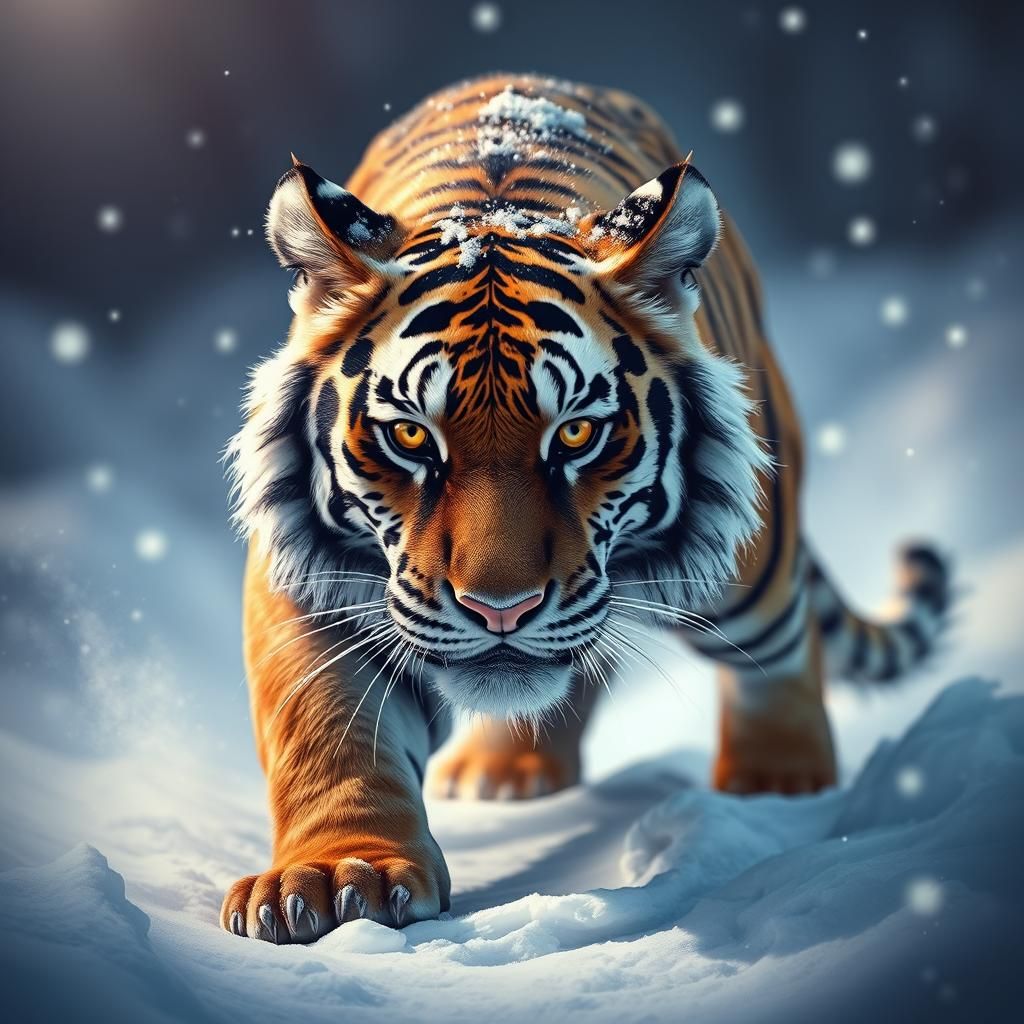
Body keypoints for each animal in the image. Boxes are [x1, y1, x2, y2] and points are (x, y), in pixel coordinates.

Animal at [220, 74, 950, 943]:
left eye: (574, 432)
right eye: (410, 434)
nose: (501, 610)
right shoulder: (310, 582)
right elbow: (326, 726)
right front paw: (339, 876)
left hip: (752, 563)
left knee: (779, 649)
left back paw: (778, 787)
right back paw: (506, 770)